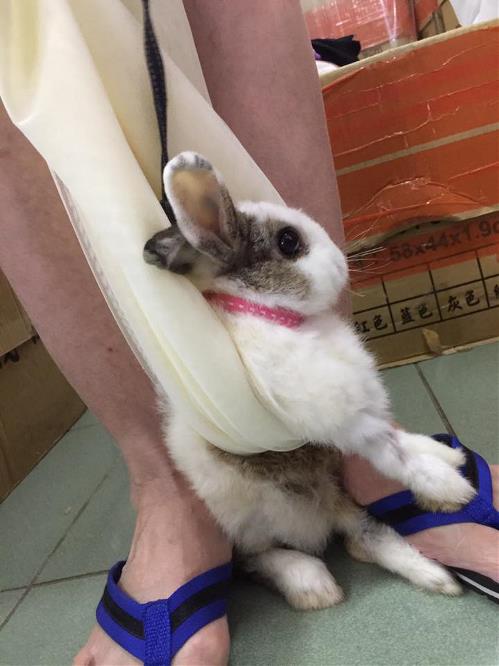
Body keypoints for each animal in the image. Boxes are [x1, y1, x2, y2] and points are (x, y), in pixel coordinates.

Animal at [143, 151, 473, 608]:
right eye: (288, 242)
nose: (341, 262)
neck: (277, 316)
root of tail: (318, 521)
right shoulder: (347, 423)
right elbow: (393, 453)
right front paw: (451, 488)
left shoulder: (361, 411)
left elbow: (401, 439)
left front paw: (447, 457)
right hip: (247, 525)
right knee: (259, 559)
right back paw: (313, 584)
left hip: (334, 495)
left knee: (363, 535)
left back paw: (436, 577)